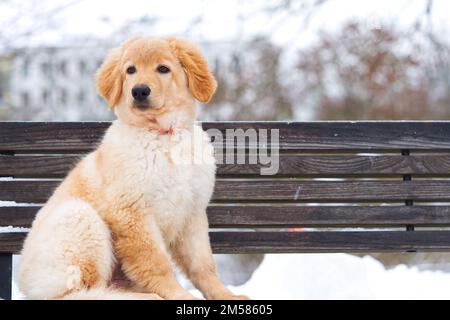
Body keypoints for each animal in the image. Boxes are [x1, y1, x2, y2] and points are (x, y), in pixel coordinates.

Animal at [17, 37, 246, 300]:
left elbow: (202, 264)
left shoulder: (192, 213)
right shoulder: (132, 212)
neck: (164, 136)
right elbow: (155, 262)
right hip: (79, 218)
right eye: (130, 70)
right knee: (79, 292)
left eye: (163, 69)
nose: (139, 91)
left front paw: (225, 295)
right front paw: (179, 296)